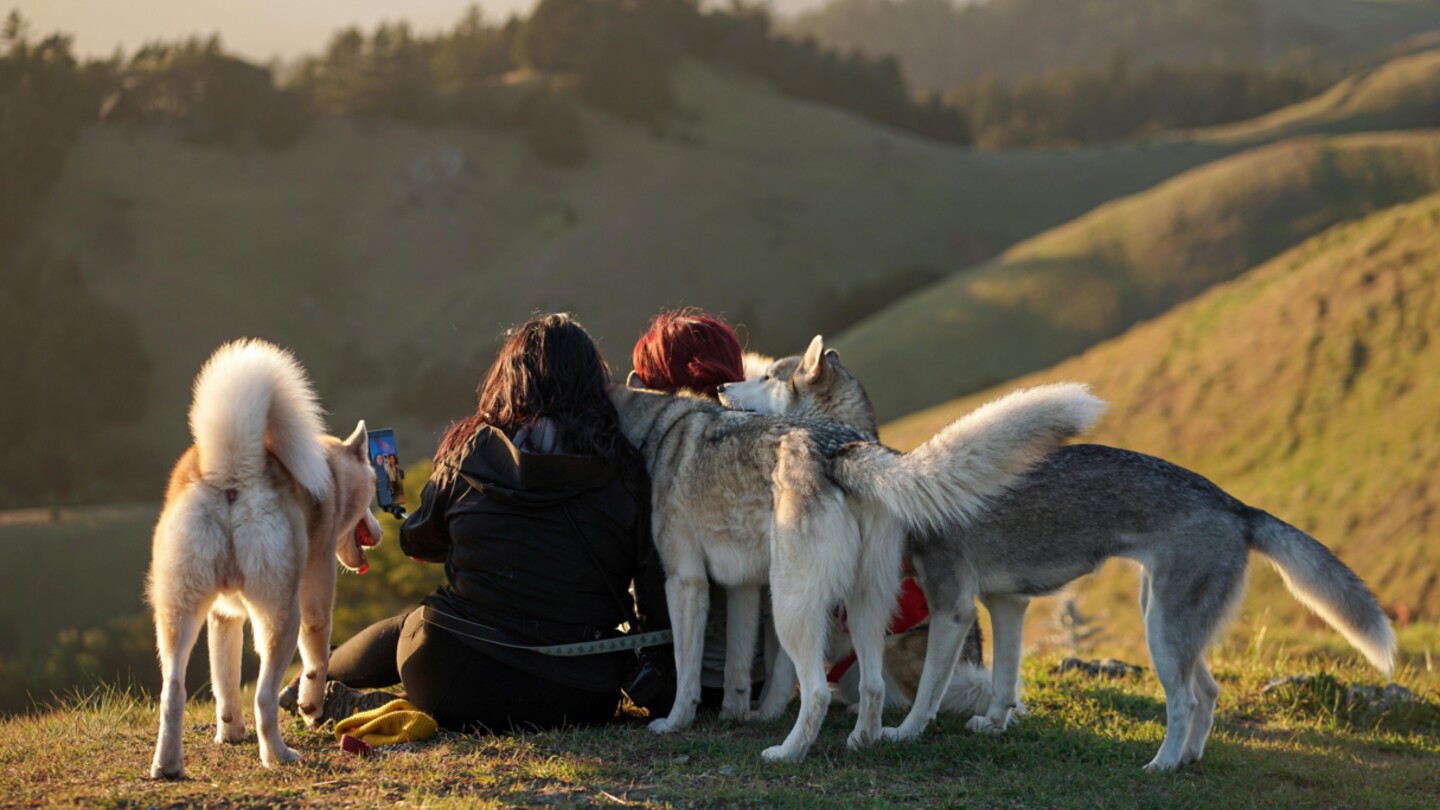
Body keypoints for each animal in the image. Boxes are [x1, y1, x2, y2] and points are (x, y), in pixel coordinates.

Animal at [147, 335, 383, 778]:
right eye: (372, 497)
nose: (378, 532)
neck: (333, 476)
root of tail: (233, 468)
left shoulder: (223, 618)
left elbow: (224, 684)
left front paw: (230, 732)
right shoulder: (317, 598)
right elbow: (317, 658)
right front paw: (310, 705)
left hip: (177, 614)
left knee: (173, 693)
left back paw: (168, 766)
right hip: (281, 614)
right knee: (263, 696)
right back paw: (278, 755)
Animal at [607, 368, 1100, 760]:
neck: (662, 425)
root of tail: (844, 450)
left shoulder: (685, 582)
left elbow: (686, 669)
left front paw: (675, 723)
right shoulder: (743, 586)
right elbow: (736, 671)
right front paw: (735, 715)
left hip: (793, 607)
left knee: (818, 693)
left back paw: (787, 753)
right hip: (863, 604)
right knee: (872, 686)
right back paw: (864, 741)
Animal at [725, 334, 1399, 766]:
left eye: (767, 377)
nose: (725, 382)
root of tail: (1234, 504)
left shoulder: (952, 609)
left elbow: (929, 694)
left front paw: (904, 734)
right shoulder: (1007, 605)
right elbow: (1003, 682)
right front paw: (993, 725)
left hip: (1162, 631)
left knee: (1183, 700)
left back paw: (1161, 765)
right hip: (1172, 622)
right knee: (1207, 692)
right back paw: (1189, 760)